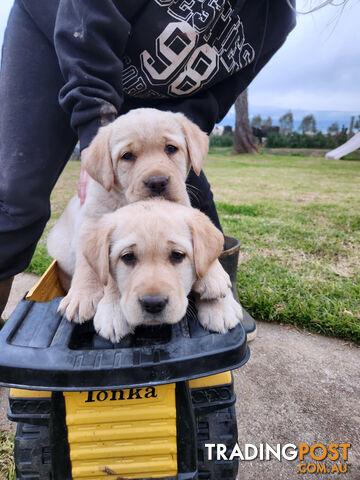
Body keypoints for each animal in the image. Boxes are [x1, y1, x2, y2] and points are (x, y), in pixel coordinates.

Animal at [81, 200, 242, 342]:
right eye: (128, 257)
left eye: (177, 255)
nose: (153, 304)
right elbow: (109, 280)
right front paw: (113, 312)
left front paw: (219, 304)